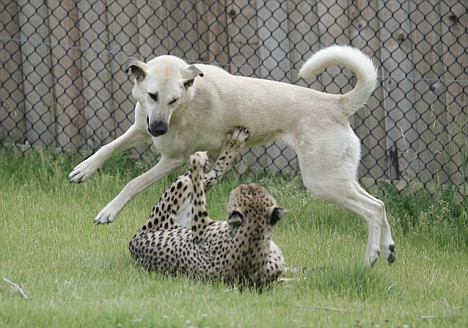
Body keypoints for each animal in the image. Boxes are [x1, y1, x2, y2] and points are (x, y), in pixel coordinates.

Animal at [70, 45, 394, 266]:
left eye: (173, 100)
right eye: (152, 96)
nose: (159, 129)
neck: (189, 97)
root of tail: (337, 103)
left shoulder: (173, 160)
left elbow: (133, 184)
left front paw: (108, 211)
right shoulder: (140, 128)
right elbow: (107, 148)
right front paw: (83, 170)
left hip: (323, 182)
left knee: (372, 209)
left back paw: (371, 257)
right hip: (339, 177)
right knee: (379, 204)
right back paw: (389, 249)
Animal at [128, 127, 286, 288]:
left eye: (244, 191)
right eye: (253, 191)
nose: (248, 184)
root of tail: (132, 244)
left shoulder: (200, 227)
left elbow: (199, 190)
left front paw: (197, 161)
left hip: (177, 191)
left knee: (207, 177)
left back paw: (226, 145)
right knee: (209, 178)